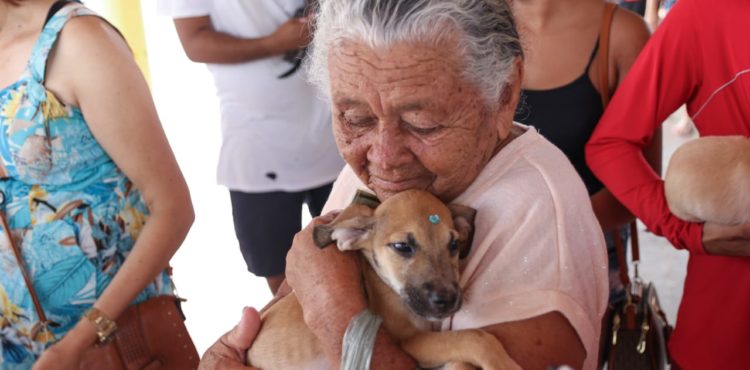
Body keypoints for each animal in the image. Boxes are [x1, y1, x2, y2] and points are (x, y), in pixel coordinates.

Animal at [247, 191, 524, 370]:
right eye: (402, 246)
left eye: (454, 244)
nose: (447, 301)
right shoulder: (408, 340)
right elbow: (475, 338)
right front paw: (505, 365)